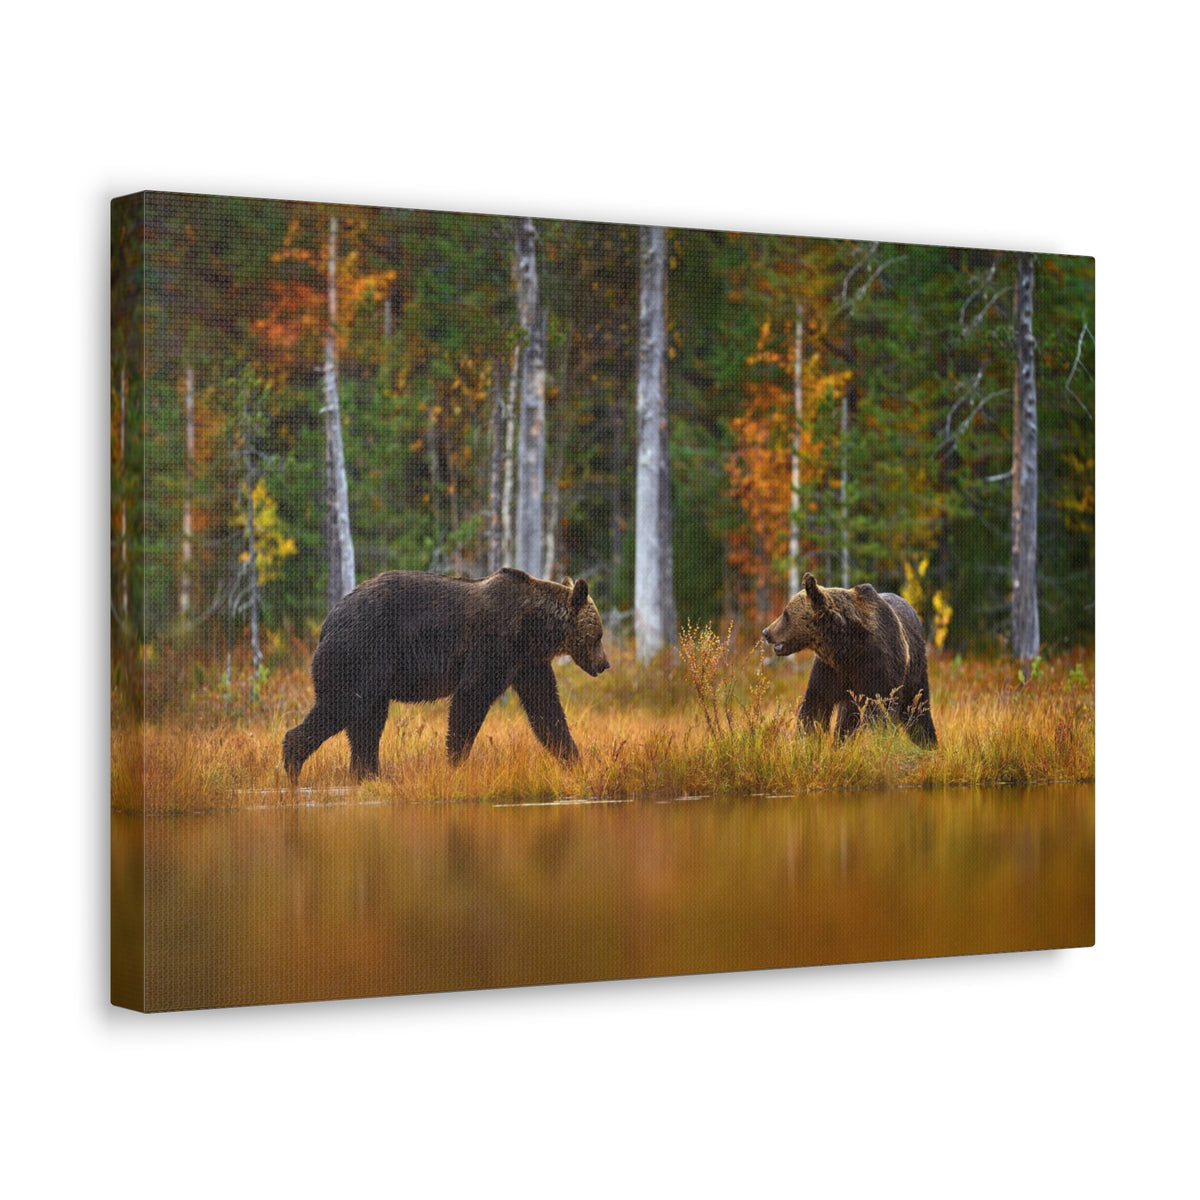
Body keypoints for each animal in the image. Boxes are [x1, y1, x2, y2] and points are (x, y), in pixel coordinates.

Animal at [283, 567, 609, 783]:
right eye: (599, 635)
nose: (604, 664)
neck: (533, 628)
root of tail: (328, 619)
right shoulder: (494, 646)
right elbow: (470, 698)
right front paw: (455, 762)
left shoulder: (526, 663)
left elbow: (546, 710)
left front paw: (575, 761)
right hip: (360, 653)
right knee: (342, 705)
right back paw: (293, 766)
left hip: (373, 675)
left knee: (367, 723)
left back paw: (370, 774)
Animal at [761, 571, 937, 746]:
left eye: (786, 614)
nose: (766, 632)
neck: (846, 648)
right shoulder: (830, 669)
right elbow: (817, 703)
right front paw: (808, 738)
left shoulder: (877, 664)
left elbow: (881, 708)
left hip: (915, 668)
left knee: (917, 705)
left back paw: (927, 742)